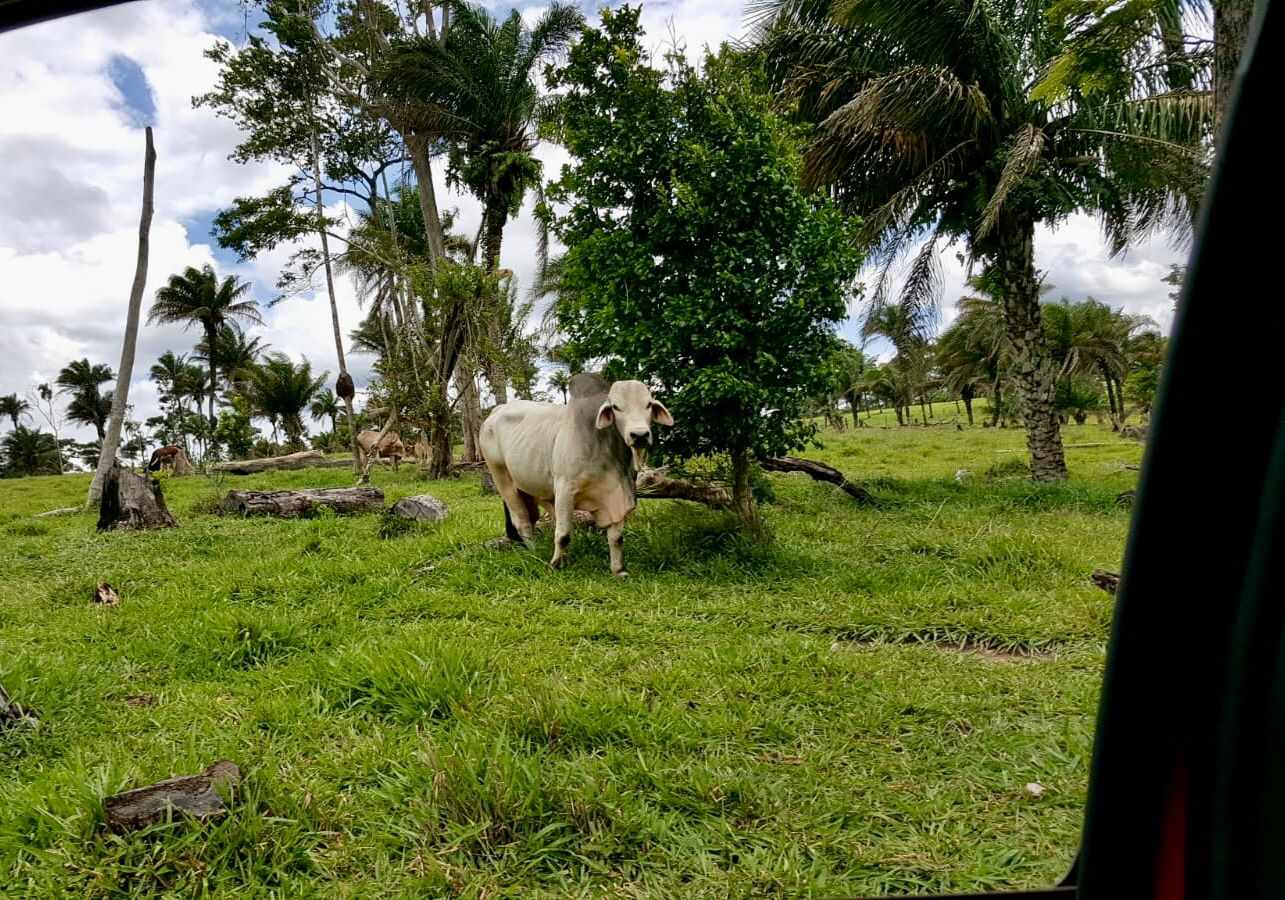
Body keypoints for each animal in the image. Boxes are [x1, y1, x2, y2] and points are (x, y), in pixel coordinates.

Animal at [480, 378, 678, 576]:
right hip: (502, 479)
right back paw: (534, 553)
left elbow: (616, 537)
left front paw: (618, 570)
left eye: (648, 404)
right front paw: (555, 565)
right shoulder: (565, 489)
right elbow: (563, 534)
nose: (639, 435)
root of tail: (497, 410)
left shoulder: (618, 494)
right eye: (616, 407)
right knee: (522, 520)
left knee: (532, 517)